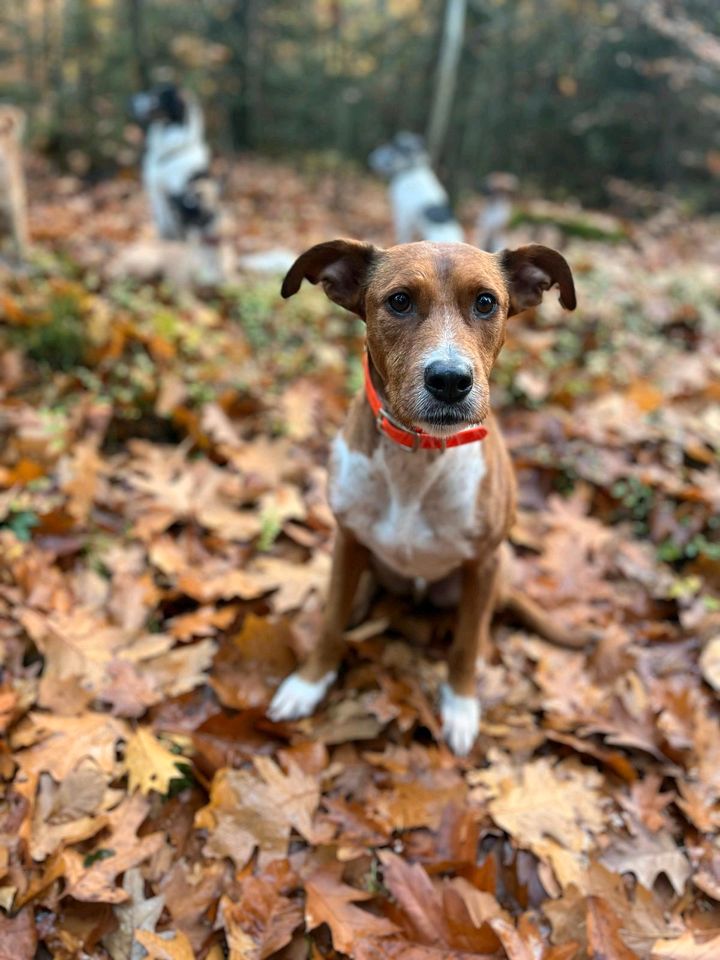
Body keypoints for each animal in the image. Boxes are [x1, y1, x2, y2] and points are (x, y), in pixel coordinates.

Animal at [268, 236, 580, 752]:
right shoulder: (348, 540)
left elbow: (466, 644)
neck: (417, 456)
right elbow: (331, 622)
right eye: (399, 301)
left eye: (486, 302)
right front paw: (309, 682)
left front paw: (461, 705)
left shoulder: (483, 562)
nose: (450, 380)